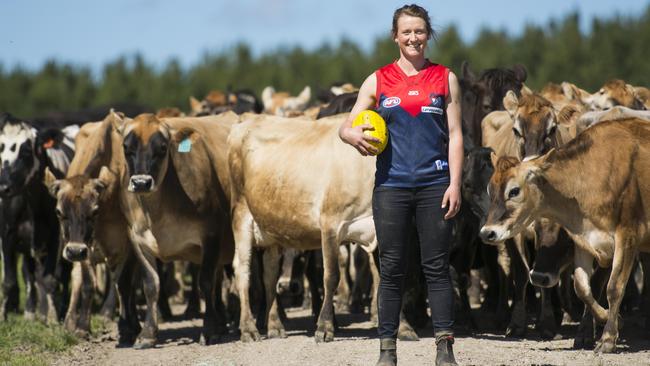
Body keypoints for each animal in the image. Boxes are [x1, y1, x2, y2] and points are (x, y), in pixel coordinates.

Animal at [114, 113, 238, 348]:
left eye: (163, 148)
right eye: (126, 147)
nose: (141, 183)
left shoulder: (211, 234)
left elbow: (205, 282)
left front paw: (208, 330)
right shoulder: (137, 239)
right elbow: (151, 284)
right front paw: (147, 334)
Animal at [478, 118, 650, 352]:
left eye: (514, 191)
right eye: (490, 190)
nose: (487, 232)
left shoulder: (627, 237)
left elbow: (614, 287)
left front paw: (607, 339)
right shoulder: (584, 240)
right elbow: (583, 288)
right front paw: (608, 318)